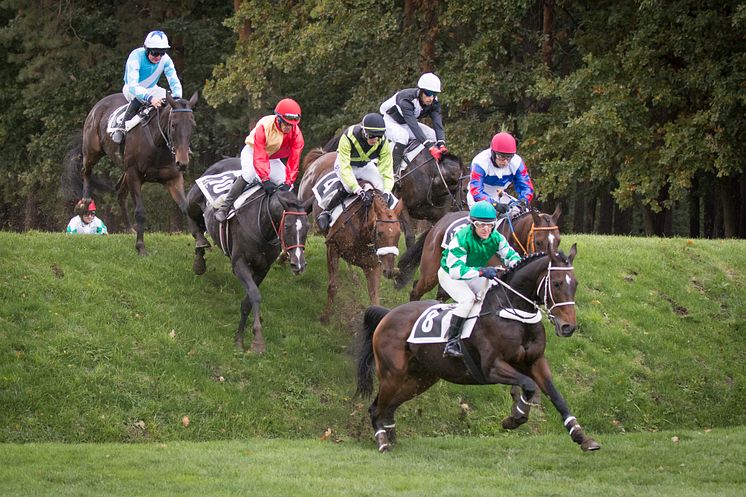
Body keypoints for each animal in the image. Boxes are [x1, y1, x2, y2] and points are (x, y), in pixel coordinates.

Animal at [79, 91, 198, 256]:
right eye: (173, 125)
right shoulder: (134, 174)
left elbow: (186, 207)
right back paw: (85, 199)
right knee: (86, 171)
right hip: (93, 151)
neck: (158, 144)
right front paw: (141, 247)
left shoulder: (173, 178)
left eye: (192, 126)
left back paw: (129, 228)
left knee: (121, 193)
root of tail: (98, 104)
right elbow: (140, 212)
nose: (183, 162)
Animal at [296, 149, 402, 324]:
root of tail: (322, 155)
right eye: (380, 233)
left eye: (398, 234)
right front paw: (325, 317)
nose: (390, 271)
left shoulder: (373, 266)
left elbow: (374, 298)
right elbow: (332, 286)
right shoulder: (332, 247)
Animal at [354, 242, 600, 452]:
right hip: (393, 374)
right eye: (557, 283)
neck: (513, 313)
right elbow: (529, 385)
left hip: (419, 379)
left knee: (388, 407)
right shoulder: (492, 368)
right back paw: (383, 442)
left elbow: (556, 395)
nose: (568, 327)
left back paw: (391, 437)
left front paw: (581, 437)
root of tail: (388, 315)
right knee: (376, 408)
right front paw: (515, 417)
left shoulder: (536, 362)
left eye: (575, 284)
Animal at [396, 204, 560, 300]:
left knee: (441, 295)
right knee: (416, 290)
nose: (551, 268)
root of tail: (438, 224)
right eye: (538, 242)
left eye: (558, 240)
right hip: (430, 272)